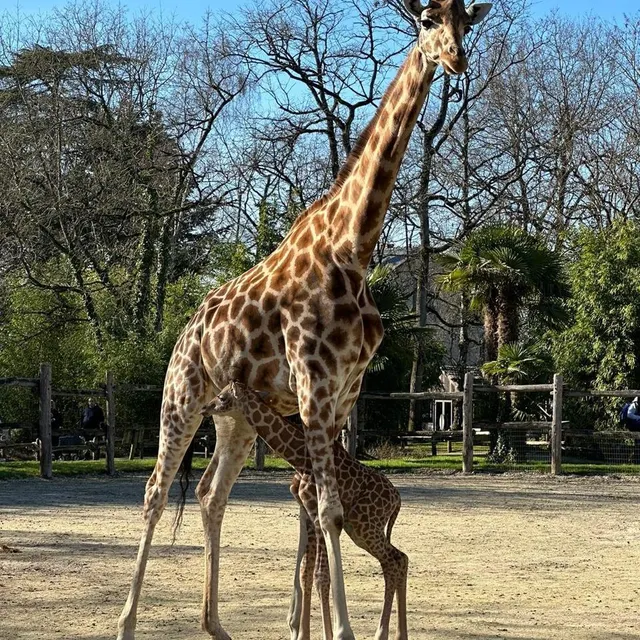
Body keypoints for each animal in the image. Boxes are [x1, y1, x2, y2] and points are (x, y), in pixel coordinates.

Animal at [202, 381, 407, 640]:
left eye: (221, 397)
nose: (205, 408)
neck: (300, 457)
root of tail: (397, 500)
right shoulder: (309, 512)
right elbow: (307, 572)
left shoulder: (319, 515)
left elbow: (320, 575)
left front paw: (326, 633)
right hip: (362, 528)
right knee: (398, 559)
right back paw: (396, 634)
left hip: (365, 526)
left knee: (395, 560)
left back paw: (383, 634)